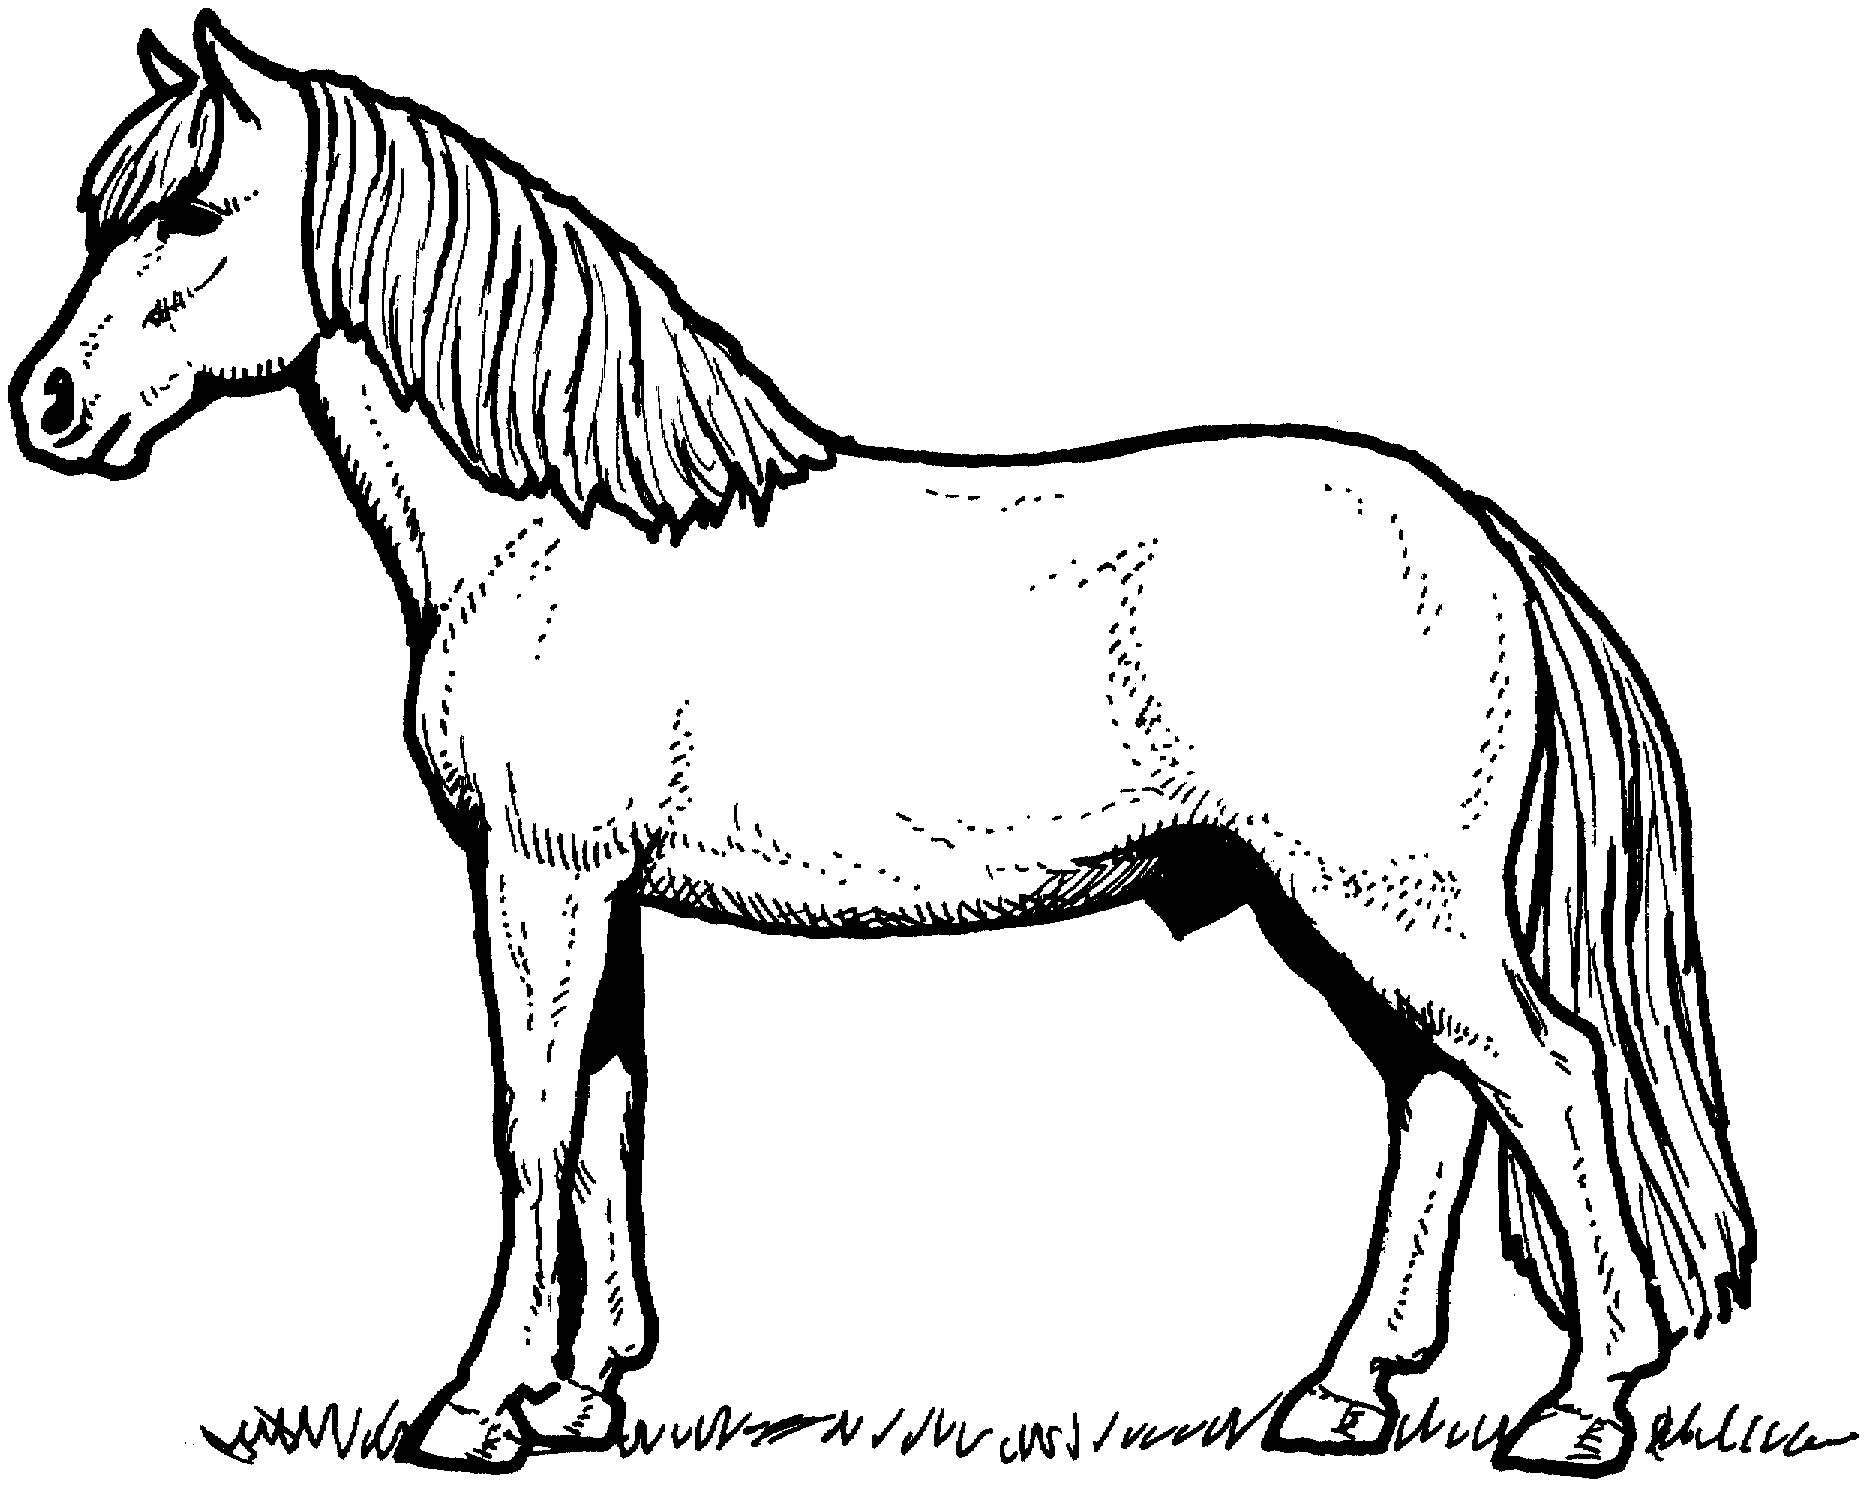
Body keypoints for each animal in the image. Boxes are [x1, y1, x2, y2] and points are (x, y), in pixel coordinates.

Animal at [13, 12, 1753, 1477]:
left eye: (191, 214)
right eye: (103, 211)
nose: (49, 406)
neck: (558, 530)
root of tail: (1470, 530)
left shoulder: (542, 874)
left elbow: (528, 1121)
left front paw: (473, 1407)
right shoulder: (599, 889)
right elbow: (604, 1117)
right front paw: (580, 1394)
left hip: (1382, 897)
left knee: (1549, 1076)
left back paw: (1579, 1408)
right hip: (1338, 906)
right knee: (1438, 1097)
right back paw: (1342, 1395)